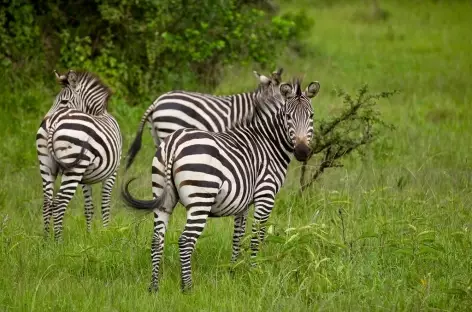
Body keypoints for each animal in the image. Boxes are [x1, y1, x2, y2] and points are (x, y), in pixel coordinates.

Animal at [36, 69, 122, 240]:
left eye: (63, 102)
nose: (44, 119)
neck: (99, 113)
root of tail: (53, 122)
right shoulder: (113, 172)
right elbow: (105, 204)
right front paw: (106, 232)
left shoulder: (85, 179)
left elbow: (89, 207)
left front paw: (89, 235)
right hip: (74, 168)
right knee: (59, 203)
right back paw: (58, 242)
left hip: (46, 165)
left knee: (47, 203)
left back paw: (46, 240)